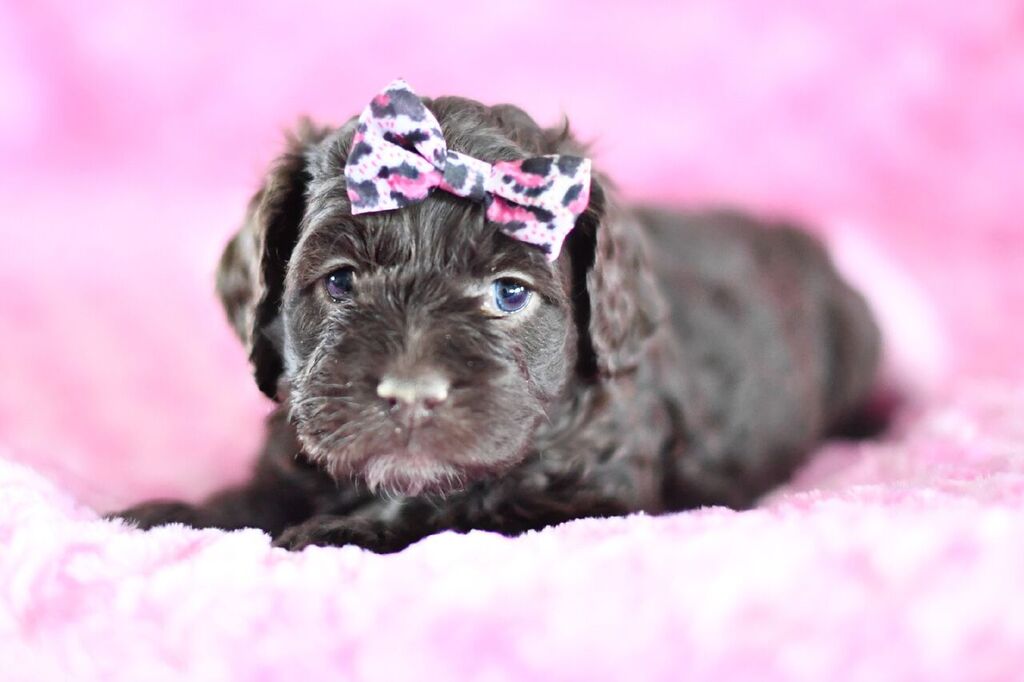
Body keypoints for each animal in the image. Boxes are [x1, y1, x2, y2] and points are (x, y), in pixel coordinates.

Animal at [114, 80, 880, 548]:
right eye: (340, 281)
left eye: (509, 293)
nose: (411, 395)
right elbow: (260, 495)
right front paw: (175, 515)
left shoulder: (584, 493)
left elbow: (464, 506)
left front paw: (341, 530)